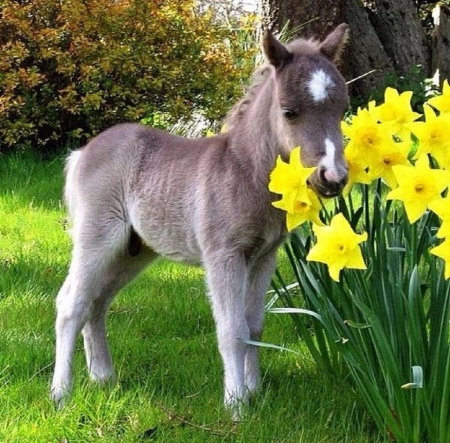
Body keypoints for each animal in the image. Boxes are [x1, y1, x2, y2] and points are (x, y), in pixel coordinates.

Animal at [51, 24, 350, 418]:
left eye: (343, 109)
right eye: (289, 112)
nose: (333, 177)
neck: (246, 171)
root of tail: (83, 152)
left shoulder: (263, 257)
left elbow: (254, 326)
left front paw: (255, 393)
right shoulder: (224, 255)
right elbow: (232, 331)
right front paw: (236, 406)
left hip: (134, 250)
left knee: (96, 302)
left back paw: (104, 378)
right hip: (98, 236)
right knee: (72, 304)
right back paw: (61, 393)